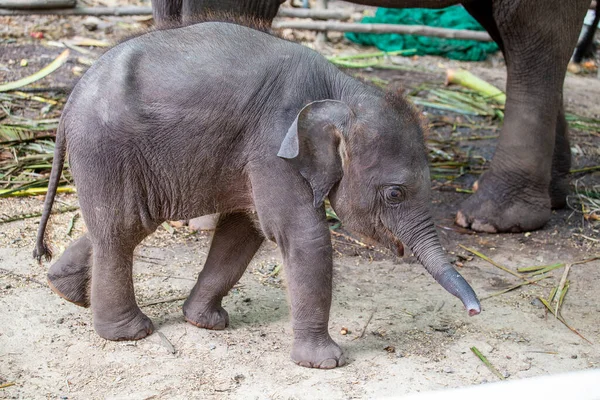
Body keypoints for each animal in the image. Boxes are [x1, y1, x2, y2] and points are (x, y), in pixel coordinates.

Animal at [35, 20, 480, 368]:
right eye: (395, 194)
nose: (476, 311)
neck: (341, 91)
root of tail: (70, 100)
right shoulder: (274, 146)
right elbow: (304, 239)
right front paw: (327, 362)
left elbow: (243, 231)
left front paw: (206, 322)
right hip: (107, 150)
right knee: (123, 230)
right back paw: (130, 332)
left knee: (115, 227)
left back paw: (65, 291)